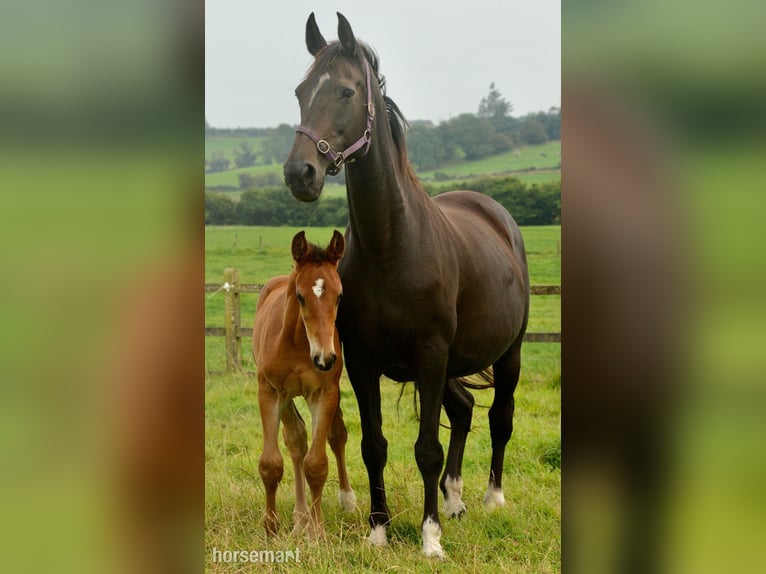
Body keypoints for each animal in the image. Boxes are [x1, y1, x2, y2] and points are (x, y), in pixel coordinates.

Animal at [252, 230, 356, 537]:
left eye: (340, 296)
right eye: (300, 296)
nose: (325, 358)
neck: (299, 343)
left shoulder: (324, 393)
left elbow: (317, 463)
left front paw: (318, 531)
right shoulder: (269, 391)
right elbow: (271, 463)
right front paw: (271, 526)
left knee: (336, 436)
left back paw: (343, 501)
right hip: (286, 398)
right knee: (296, 440)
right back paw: (299, 517)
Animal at [283, 13, 529, 558]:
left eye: (347, 91)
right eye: (301, 91)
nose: (299, 173)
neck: (391, 246)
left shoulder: (431, 354)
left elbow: (426, 449)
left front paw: (429, 538)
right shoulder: (362, 361)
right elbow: (374, 445)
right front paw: (378, 530)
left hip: (509, 352)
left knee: (499, 417)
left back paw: (492, 499)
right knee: (464, 410)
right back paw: (455, 500)